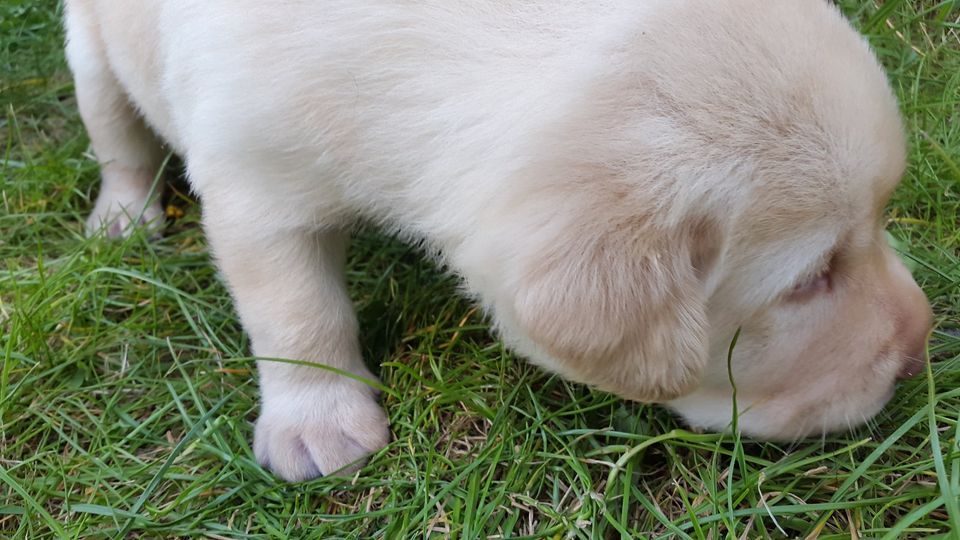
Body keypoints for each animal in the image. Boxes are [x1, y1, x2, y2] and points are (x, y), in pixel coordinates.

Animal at [65, 0, 928, 480]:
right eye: (809, 279)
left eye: (880, 219)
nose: (922, 344)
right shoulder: (252, 184)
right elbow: (297, 312)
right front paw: (317, 418)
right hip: (89, 51)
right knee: (119, 140)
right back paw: (122, 220)